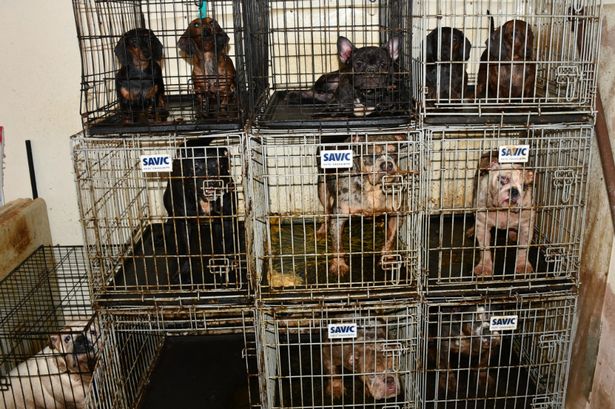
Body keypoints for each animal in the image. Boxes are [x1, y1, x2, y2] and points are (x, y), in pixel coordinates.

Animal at [163, 139, 239, 282]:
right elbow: (186, 248)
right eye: (195, 166)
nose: (211, 181)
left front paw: (225, 263)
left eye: (219, 165)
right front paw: (184, 271)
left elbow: (226, 243)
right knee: (170, 218)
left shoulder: (226, 218)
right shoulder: (184, 221)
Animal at [316, 134, 405, 275]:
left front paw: (387, 258)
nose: (387, 164)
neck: (373, 188)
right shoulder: (339, 217)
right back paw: (322, 230)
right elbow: (338, 245)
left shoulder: (396, 214)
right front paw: (339, 265)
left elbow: (391, 238)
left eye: (393, 152)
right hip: (322, 188)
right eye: (371, 153)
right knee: (326, 211)